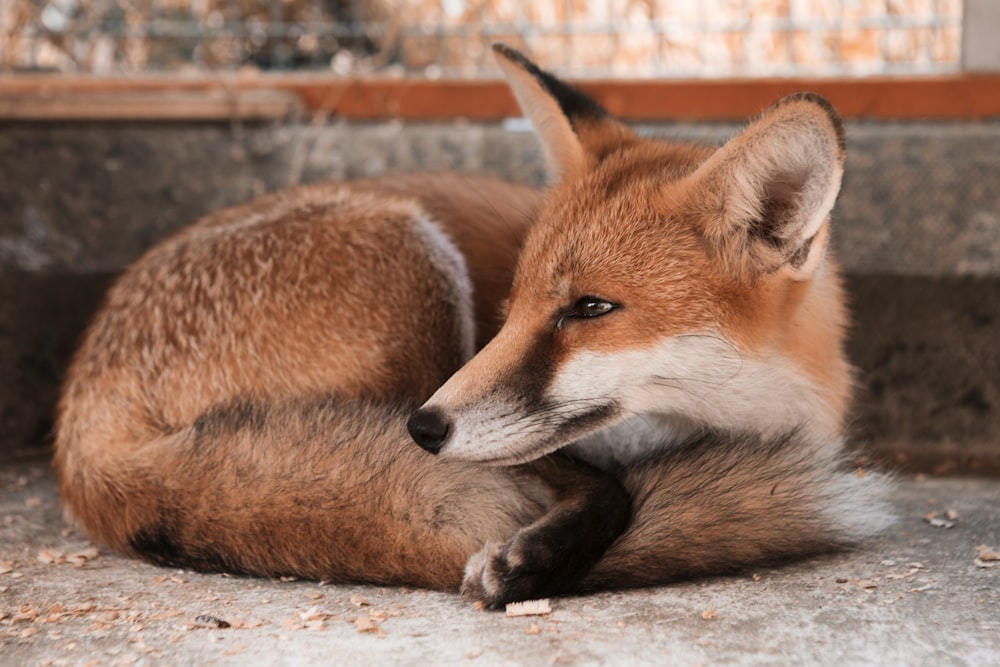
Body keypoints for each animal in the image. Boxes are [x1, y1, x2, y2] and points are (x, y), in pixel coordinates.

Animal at [52, 45, 892, 612]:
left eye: (590, 308)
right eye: (511, 305)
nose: (423, 428)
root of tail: (81, 417)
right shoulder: (515, 428)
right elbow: (604, 484)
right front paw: (536, 555)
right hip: (415, 273)